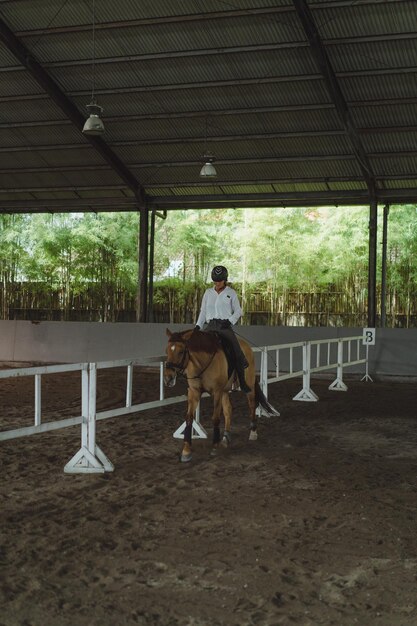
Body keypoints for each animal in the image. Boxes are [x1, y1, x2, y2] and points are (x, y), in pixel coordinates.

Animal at [164, 330, 278, 460]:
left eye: (181, 351)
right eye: (167, 351)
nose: (168, 378)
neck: (203, 363)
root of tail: (246, 346)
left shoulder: (217, 391)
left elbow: (216, 418)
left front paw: (214, 446)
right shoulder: (194, 392)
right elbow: (189, 417)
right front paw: (186, 451)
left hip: (248, 385)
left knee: (252, 405)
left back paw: (253, 432)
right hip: (225, 391)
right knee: (228, 410)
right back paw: (225, 438)